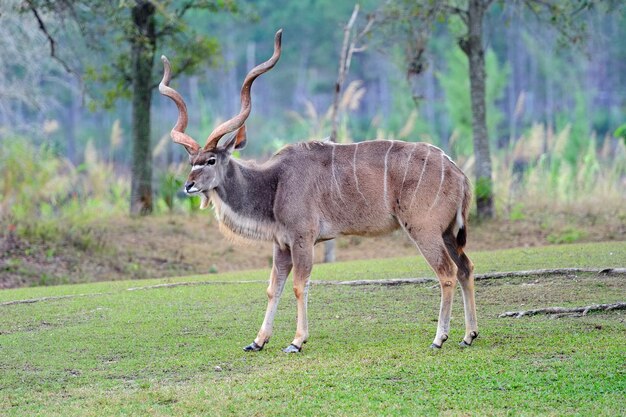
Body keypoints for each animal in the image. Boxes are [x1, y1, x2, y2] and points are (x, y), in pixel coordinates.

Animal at [158, 30, 476, 352]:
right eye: (191, 161)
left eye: (211, 160)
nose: (188, 185)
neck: (274, 182)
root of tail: (459, 173)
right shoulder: (281, 244)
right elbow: (273, 287)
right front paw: (258, 341)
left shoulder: (303, 239)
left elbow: (300, 285)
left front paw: (297, 341)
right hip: (447, 233)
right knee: (465, 268)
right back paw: (468, 335)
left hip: (424, 230)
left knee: (446, 273)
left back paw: (439, 338)